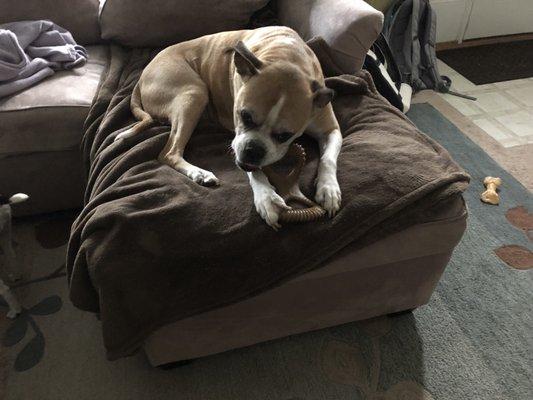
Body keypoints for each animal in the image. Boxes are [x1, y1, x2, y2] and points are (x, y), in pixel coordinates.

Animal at [115, 26, 340, 228]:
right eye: (244, 116)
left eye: (285, 135)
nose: (253, 150)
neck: (287, 56)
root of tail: (142, 76)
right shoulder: (238, 141)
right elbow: (252, 170)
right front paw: (266, 196)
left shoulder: (331, 129)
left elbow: (328, 158)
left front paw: (329, 188)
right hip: (193, 92)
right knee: (169, 152)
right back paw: (200, 174)